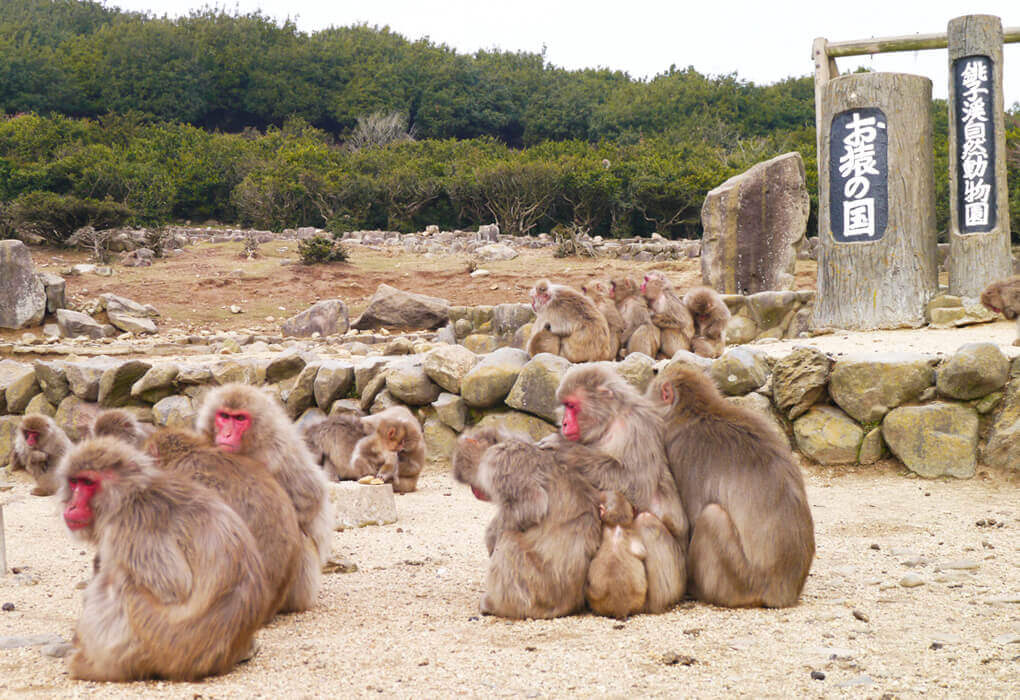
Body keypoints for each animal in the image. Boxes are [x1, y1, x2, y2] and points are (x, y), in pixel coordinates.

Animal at [57, 438, 269, 681]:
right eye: (74, 482)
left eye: (88, 482)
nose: (71, 506)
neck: (129, 496)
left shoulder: (133, 526)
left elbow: (173, 588)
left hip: (155, 644)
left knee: (116, 579)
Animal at [450, 428, 599, 620]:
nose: (474, 491)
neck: (503, 441)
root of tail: (571, 604)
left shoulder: (501, 459)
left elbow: (531, 505)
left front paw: (491, 536)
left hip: (540, 589)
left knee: (509, 540)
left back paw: (496, 606)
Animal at [648, 365, 816, 612]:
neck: (696, 410)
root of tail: (784, 594)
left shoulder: (679, 451)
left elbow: (687, 522)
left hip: (740, 581)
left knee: (711, 516)